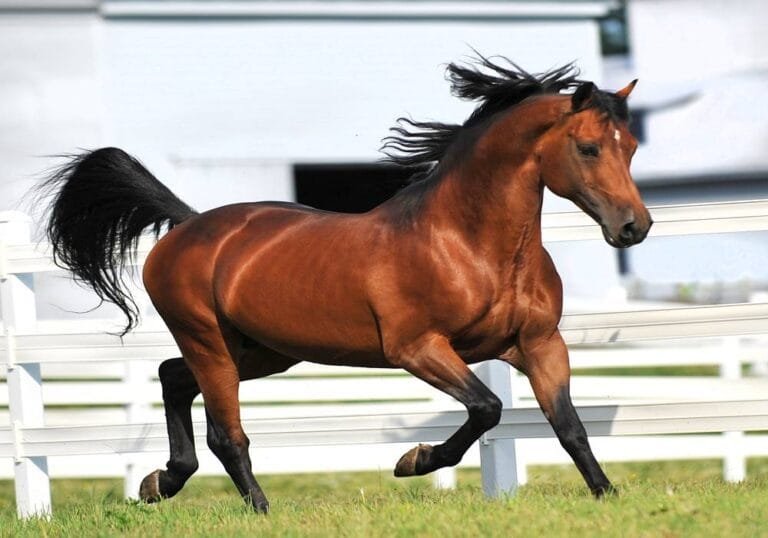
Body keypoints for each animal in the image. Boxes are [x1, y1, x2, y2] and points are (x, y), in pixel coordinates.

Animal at [39, 55, 651, 512]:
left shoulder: (540, 344)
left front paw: (606, 496)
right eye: (589, 148)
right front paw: (413, 461)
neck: (468, 245)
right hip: (208, 341)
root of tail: (188, 224)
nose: (634, 227)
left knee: (172, 378)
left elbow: (568, 426)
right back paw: (258, 510)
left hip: (262, 351)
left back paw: (158, 483)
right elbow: (487, 408)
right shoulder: (418, 348)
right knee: (225, 433)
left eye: (631, 147)